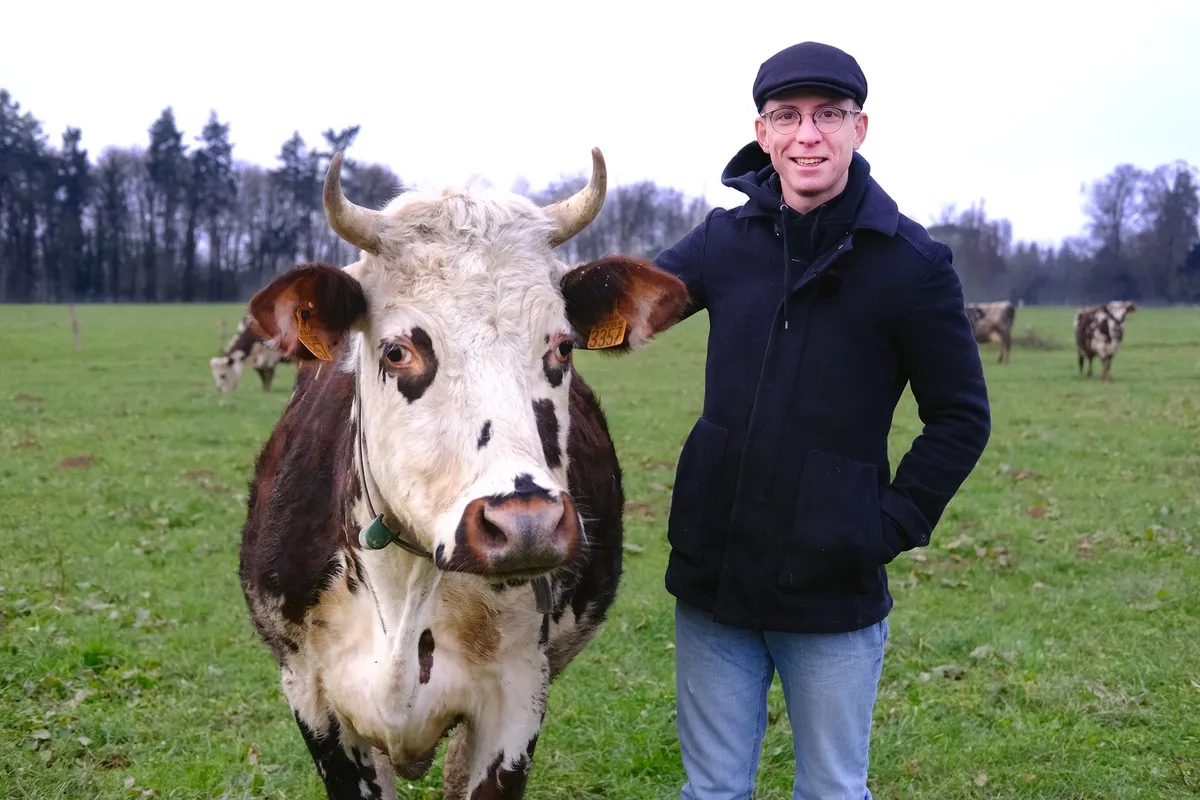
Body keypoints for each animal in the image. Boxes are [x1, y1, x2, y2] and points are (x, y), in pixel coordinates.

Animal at [238, 149, 689, 799]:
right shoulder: (313, 698)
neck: (404, 590)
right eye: (398, 351)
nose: (525, 524)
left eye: (562, 347)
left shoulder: (517, 699)